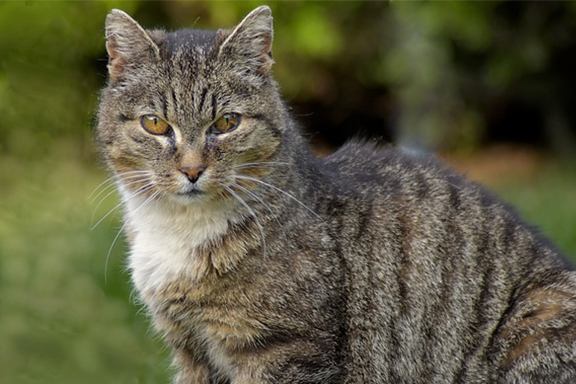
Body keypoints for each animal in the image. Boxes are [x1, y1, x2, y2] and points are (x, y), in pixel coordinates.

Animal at [97, 6, 576, 384]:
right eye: (155, 124)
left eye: (227, 123)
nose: (192, 169)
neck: (178, 231)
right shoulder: (192, 351)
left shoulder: (286, 351)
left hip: (541, 316)